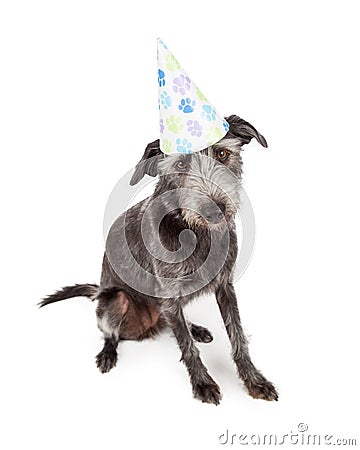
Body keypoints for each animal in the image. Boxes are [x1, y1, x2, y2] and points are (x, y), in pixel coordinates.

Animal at [40, 115, 280, 404]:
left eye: (223, 154)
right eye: (180, 164)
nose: (215, 210)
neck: (194, 232)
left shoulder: (224, 286)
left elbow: (238, 337)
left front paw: (254, 380)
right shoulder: (170, 296)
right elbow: (187, 347)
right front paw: (202, 383)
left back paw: (195, 328)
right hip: (117, 300)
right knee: (111, 333)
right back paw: (108, 353)